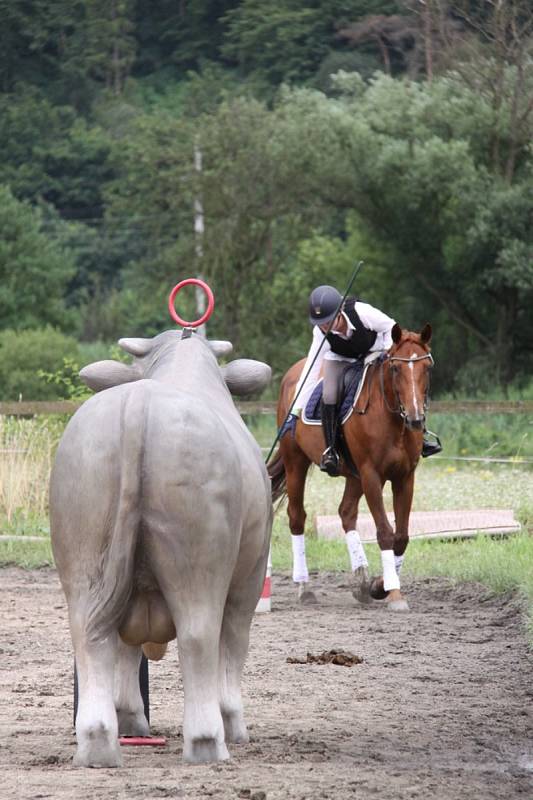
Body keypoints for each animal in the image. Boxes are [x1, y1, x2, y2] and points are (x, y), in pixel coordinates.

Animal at [50, 332, 272, 768]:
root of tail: (140, 401)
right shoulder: (250, 580)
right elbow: (232, 646)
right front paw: (235, 724)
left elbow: (126, 650)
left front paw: (130, 717)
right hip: (200, 564)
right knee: (199, 637)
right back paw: (209, 742)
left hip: (85, 560)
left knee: (92, 637)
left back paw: (98, 741)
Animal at [268, 322, 434, 608]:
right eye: (395, 368)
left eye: (426, 368)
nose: (415, 419)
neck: (391, 417)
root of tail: (295, 372)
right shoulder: (371, 475)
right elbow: (385, 532)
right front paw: (393, 591)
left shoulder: (404, 477)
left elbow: (401, 537)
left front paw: (381, 586)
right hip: (296, 462)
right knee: (297, 517)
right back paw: (304, 587)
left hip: (354, 476)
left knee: (346, 513)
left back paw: (362, 580)